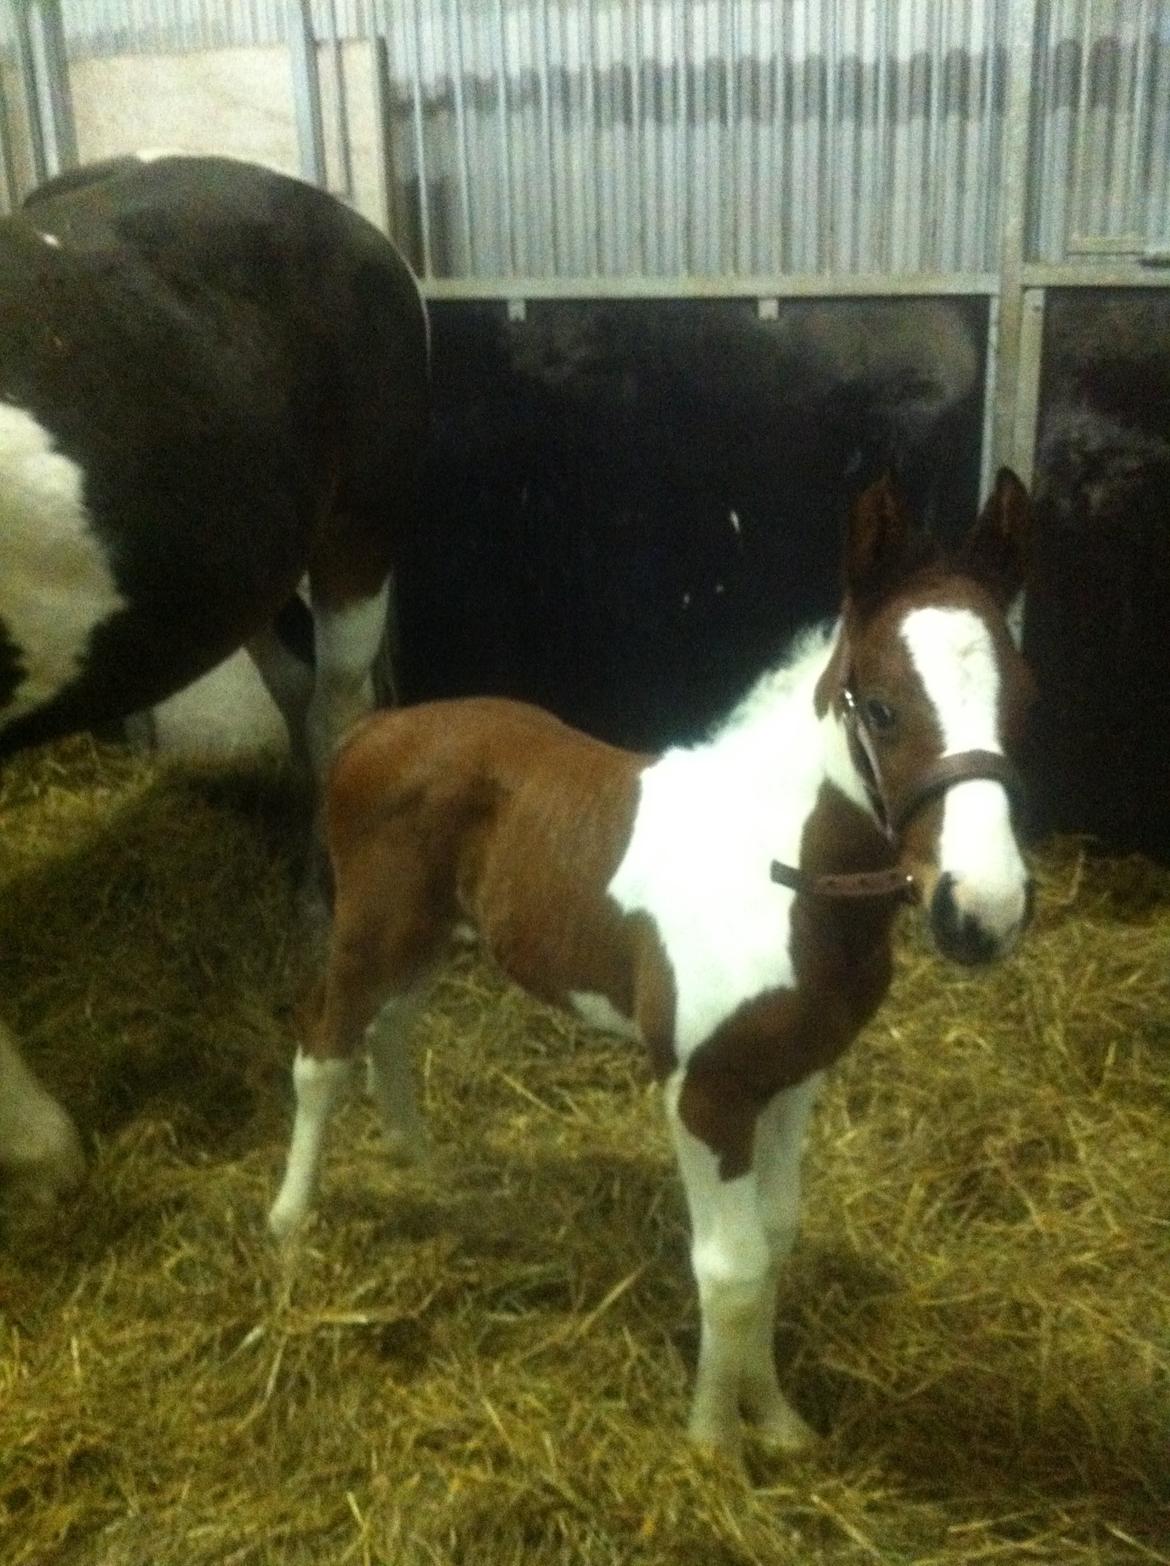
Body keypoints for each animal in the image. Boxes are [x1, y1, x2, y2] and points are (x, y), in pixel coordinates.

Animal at [0, 152, 429, 1202]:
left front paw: (36, 1145)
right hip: (245, 576)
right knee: (298, 696)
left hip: (356, 529)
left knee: (337, 708)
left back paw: (327, 899)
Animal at [272, 472, 1033, 1453]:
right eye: (885, 708)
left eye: (1026, 702)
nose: (984, 910)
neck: (779, 873)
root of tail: (370, 734)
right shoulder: (702, 1091)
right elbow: (731, 1265)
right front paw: (714, 1444)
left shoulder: (795, 1078)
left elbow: (776, 1239)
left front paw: (776, 1421)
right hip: (371, 931)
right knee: (322, 1049)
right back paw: (289, 1224)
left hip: (434, 935)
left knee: (391, 1033)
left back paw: (425, 1167)